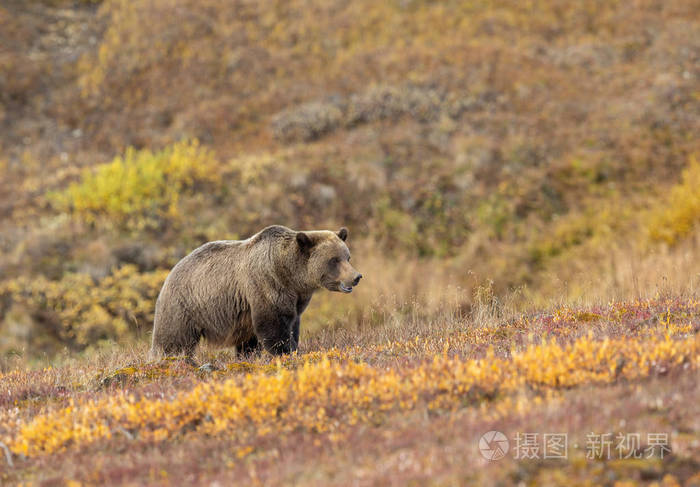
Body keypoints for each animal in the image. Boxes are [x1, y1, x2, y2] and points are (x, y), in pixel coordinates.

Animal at [151, 227, 364, 356]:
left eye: (347, 257)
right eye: (334, 260)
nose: (356, 276)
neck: (291, 276)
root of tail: (169, 273)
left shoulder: (296, 299)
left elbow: (292, 324)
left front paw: (294, 347)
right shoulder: (267, 284)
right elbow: (272, 324)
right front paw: (284, 351)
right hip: (184, 306)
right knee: (173, 341)